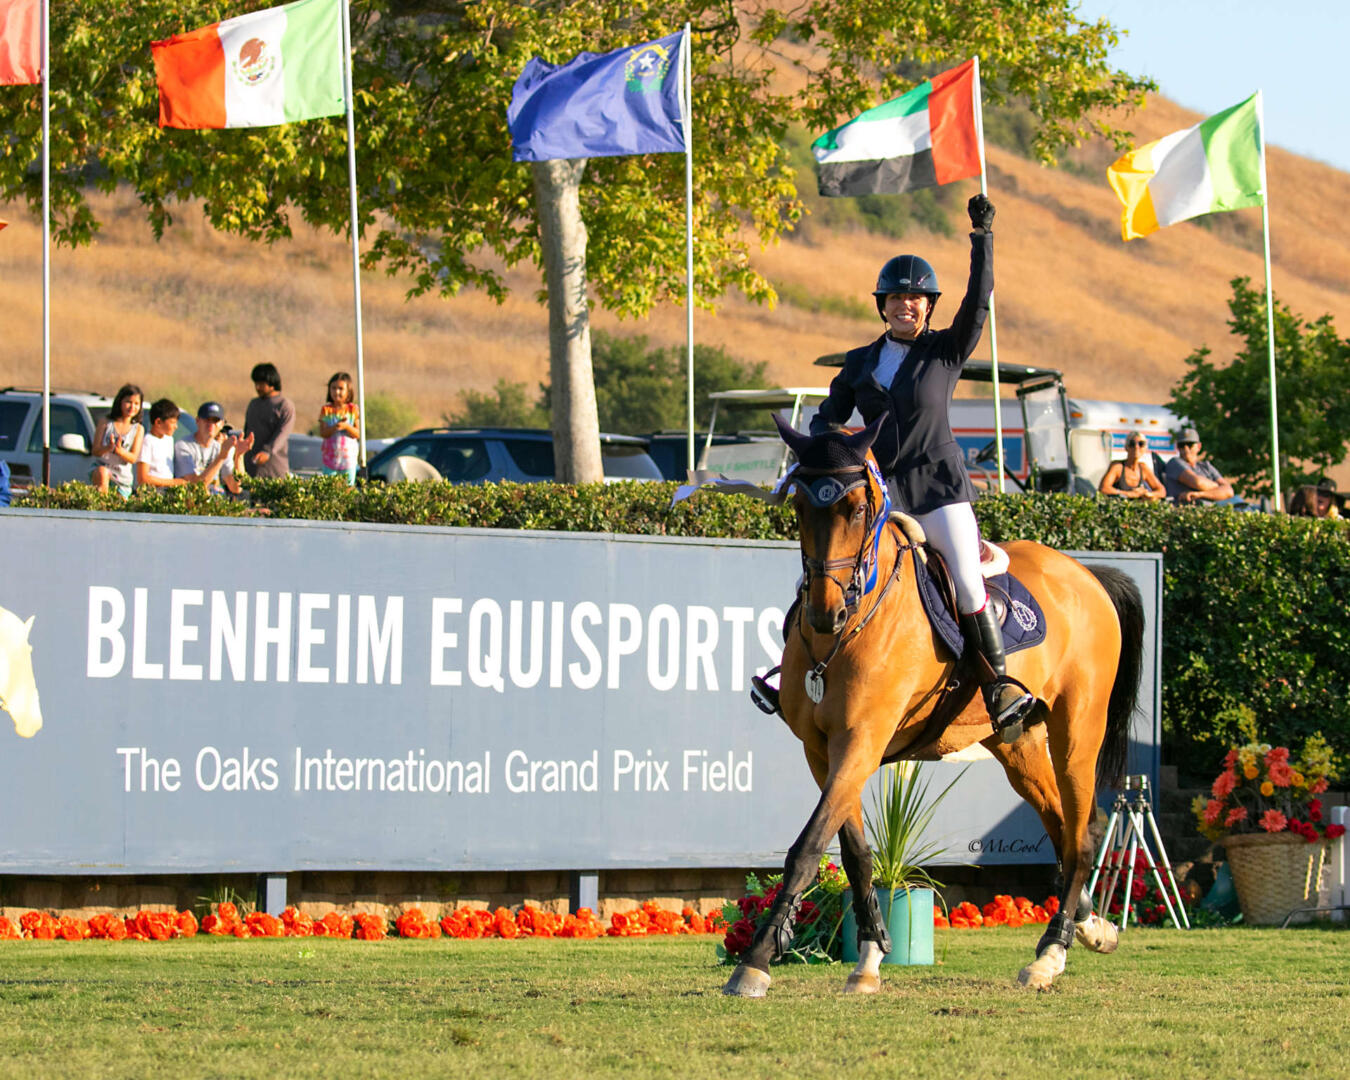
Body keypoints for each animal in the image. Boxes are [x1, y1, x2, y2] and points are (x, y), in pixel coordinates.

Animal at [723, 418, 1144, 999]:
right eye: (800, 508)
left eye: (859, 508)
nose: (825, 614)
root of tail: (1084, 574)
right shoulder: (823, 750)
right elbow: (853, 852)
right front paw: (870, 956)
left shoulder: (862, 739)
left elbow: (808, 847)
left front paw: (756, 960)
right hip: (1016, 744)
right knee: (1063, 825)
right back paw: (1090, 926)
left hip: (1077, 730)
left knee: (1083, 833)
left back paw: (1049, 954)